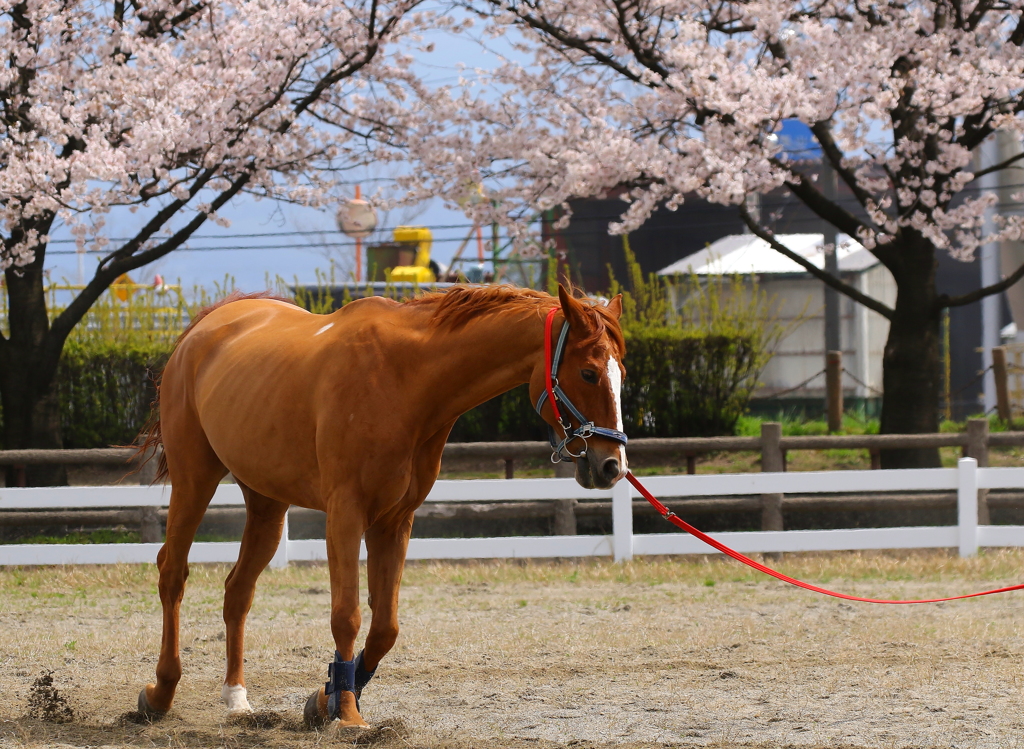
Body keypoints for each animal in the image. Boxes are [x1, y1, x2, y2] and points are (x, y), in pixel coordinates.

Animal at [134, 280, 630, 725]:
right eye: (588, 372)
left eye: (621, 375)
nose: (612, 466)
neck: (405, 378)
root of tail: (204, 328)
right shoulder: (346, 513)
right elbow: (347, 616)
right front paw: (348, 714)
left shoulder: (394, 521)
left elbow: (385, 627)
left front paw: (328, 697)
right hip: (194, 481)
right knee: (172, 574)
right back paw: (160, 693)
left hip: (267, 504)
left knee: (238, 590)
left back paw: (235, 696)